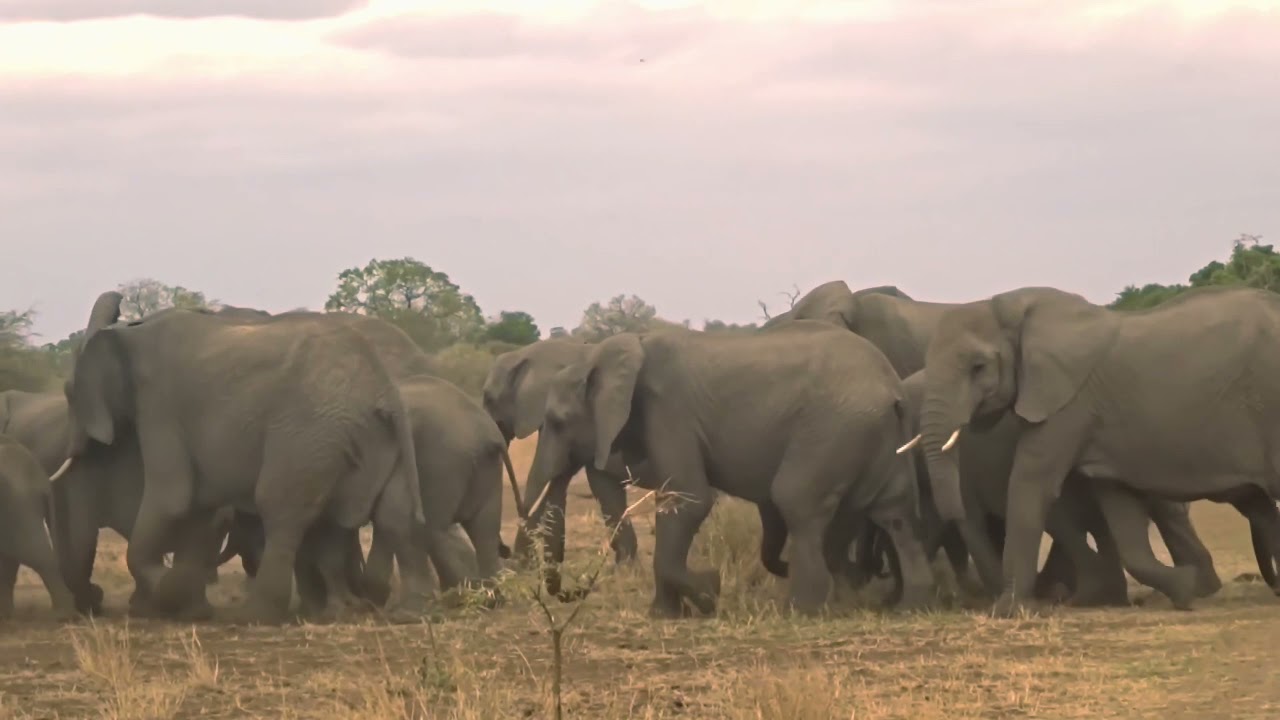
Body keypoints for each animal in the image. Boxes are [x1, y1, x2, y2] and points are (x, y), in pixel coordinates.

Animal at [54, 291, 433, 624]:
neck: (132, 331)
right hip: (374, 439)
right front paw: (187, 604)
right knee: (392, 515)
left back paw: (256, 615)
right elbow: (200, 508)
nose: (95, 599)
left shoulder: (159, 406)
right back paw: (398, 613)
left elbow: (172, 498)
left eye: (69, 392)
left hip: (307, 434)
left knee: (280, 511)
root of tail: (383, 391)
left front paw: (171, 591)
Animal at [522, 321, 934, 617]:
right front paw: (666, 614)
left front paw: (707, 592)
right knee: (896, 512)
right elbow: (675, 500)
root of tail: (892, 386)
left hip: (834, 428)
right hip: (875, 435)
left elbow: (689, 500)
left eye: (557, 422)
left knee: (796, 500)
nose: (573, 591)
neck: (610, 352)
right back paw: (909, 607)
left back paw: (800, 609)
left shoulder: (669, 412)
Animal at [917, 285, 1280, 616]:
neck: (1012, 306)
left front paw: (1006, 611)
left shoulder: (1068, 404)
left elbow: (1030, 485)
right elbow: (1120, 511)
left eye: (978, 367)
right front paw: (1184, 589)